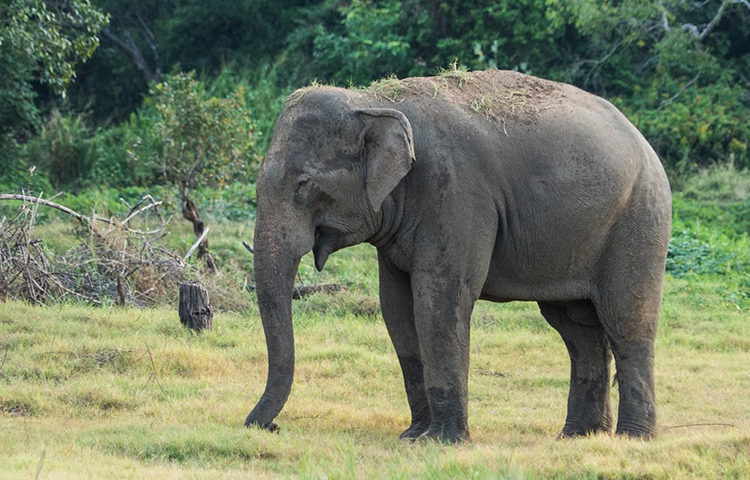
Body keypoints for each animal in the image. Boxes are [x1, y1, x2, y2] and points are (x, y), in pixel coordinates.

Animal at [247, 69, 676, 444]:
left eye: (303, 184)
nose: (270, 426)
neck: (375, 100)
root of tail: (644, 142)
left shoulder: (455, 192)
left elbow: (439, 298)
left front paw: (441, 441)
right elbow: (397, 307)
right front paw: (412, 436)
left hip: (639, 219)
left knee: (627, 321)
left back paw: (632, 438)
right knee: (576, 328)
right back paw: (576, 437)